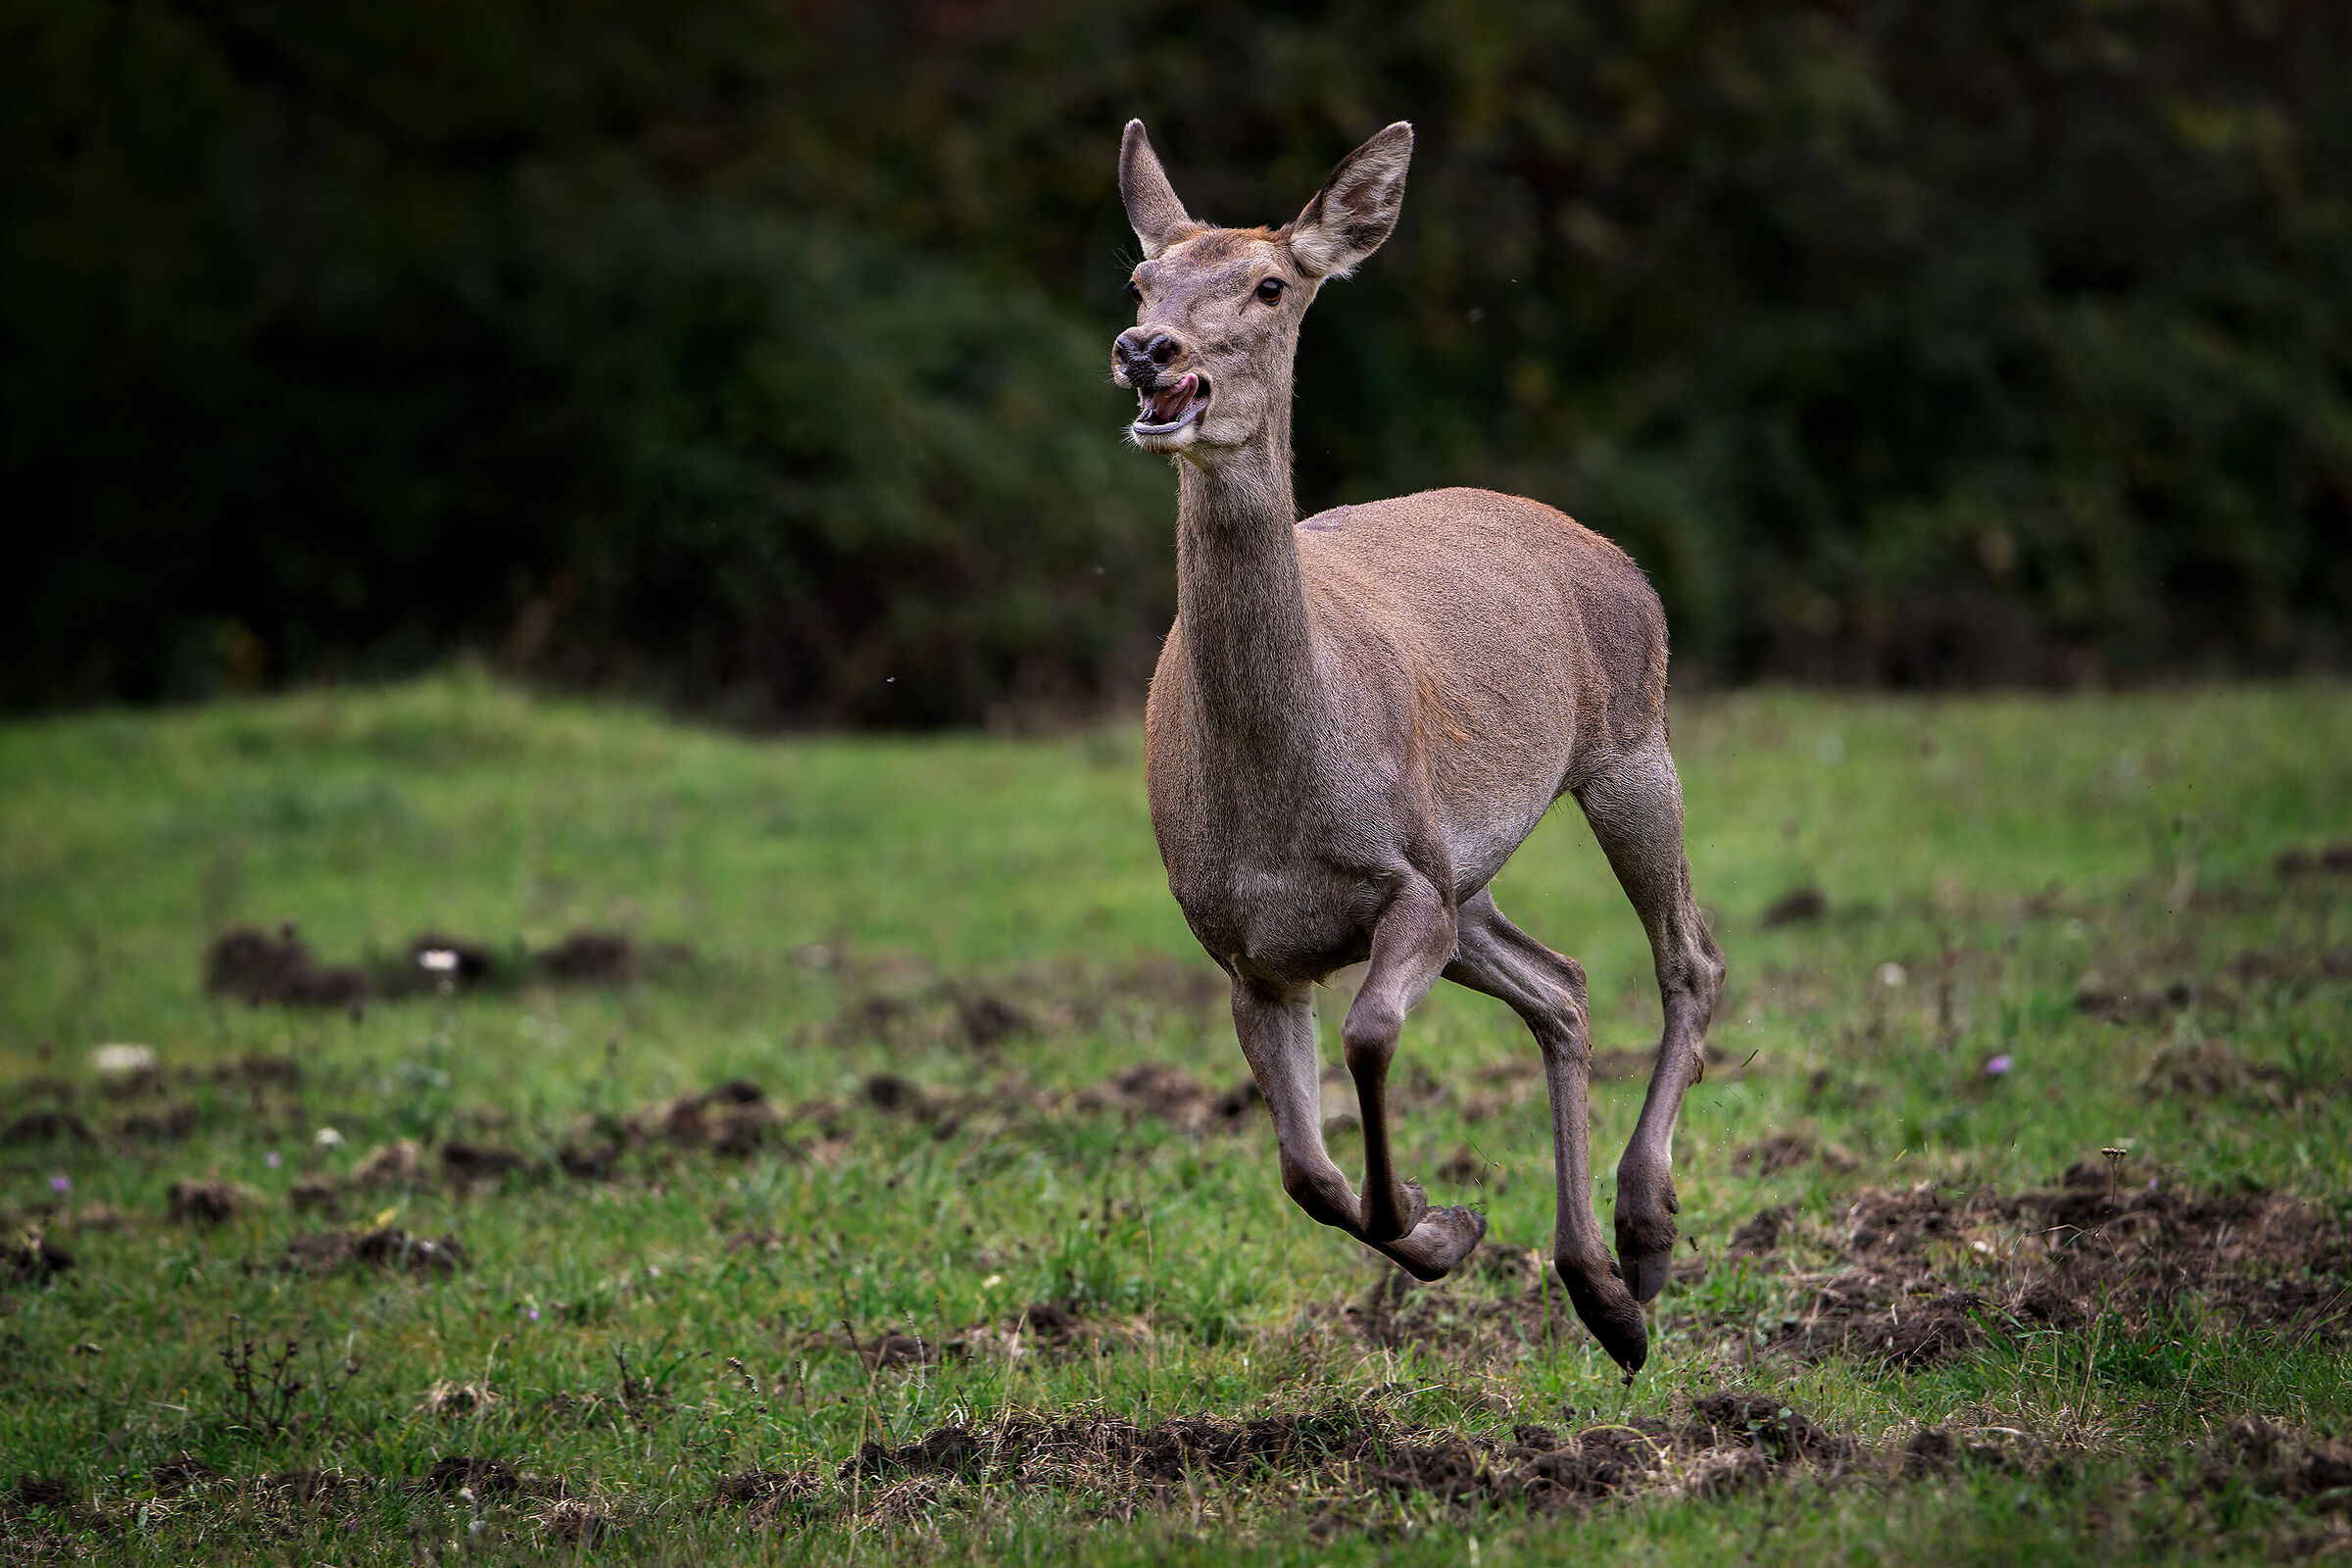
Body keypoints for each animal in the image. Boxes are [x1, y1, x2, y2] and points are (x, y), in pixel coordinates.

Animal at [1111, 119, 1726, 1374]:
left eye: (1272, 284)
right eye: (1142, 277)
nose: (1147, 350)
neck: (1286, 793)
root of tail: (1613, 553)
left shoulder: (1410, 885)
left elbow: (1374, 1032)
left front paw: (1443, 1222)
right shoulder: (1244, 948)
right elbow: (1304, 1173)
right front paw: (1447, 1229)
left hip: (1630, 742)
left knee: (1689, 958)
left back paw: (1644, 1239)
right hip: (1476, 871)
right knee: (1563, 984)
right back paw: (1599, 1286)